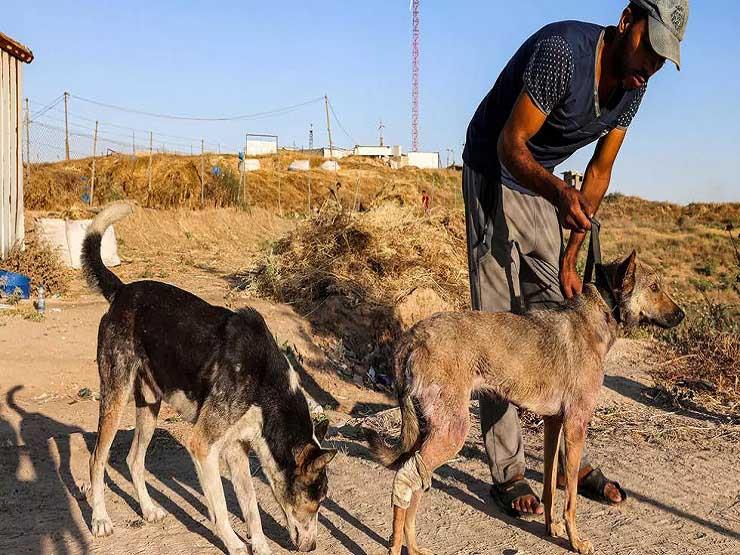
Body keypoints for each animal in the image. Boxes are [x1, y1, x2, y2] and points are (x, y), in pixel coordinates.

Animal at [81, 202, 336, 552]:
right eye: (316, 501)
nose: (311, 547)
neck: (265, 387)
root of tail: (122, 291)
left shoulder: (237, 450)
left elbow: (251, 508)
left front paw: (260, 546)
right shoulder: (203, 446)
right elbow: (221, 509)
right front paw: (234, 544)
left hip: (149, 404)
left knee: (134, 459)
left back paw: (148, 509)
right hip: (115, 396)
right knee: (97, 459)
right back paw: (100, 520)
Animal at [368, 253, 684, 555]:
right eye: (654, 287)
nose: (681, 315)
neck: (601, 310)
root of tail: (411, 336)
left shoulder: (554, 423)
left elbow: (550, 485)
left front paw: (551, 527)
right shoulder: (576, 424)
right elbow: (570, 497)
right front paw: (575, 541)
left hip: (431, 429)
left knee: (415, 482)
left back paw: (412, 547)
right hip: (452, 432)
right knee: (406, 478)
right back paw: (396, 546)